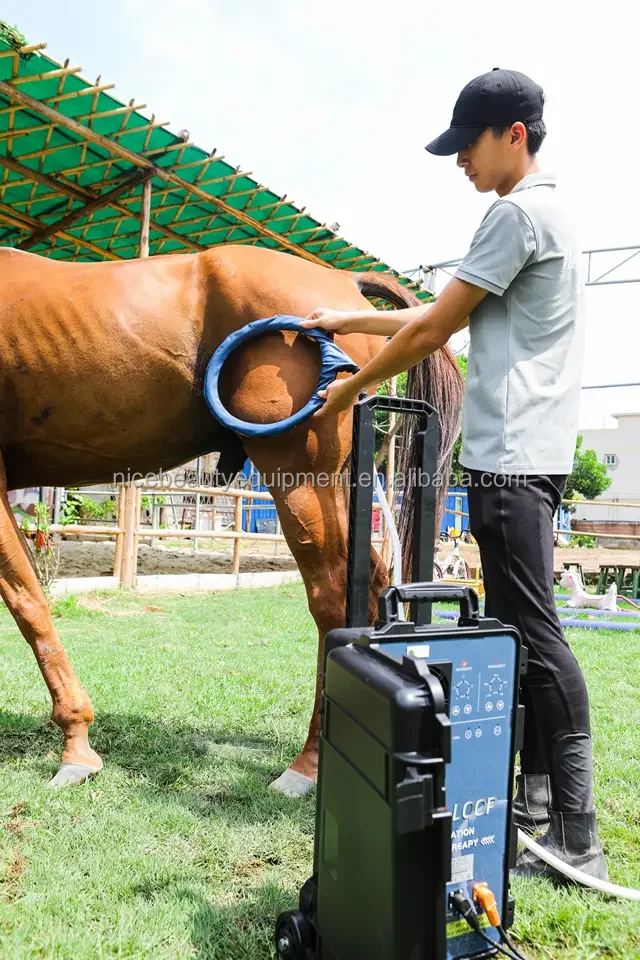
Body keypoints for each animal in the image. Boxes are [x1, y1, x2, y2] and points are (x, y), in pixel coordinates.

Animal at [0, 242, 463, 791]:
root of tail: (344, 281)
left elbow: (28, 601)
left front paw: (76, 748)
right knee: (367, 582)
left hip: (299, 477)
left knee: (331, 597)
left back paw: (305, 767)